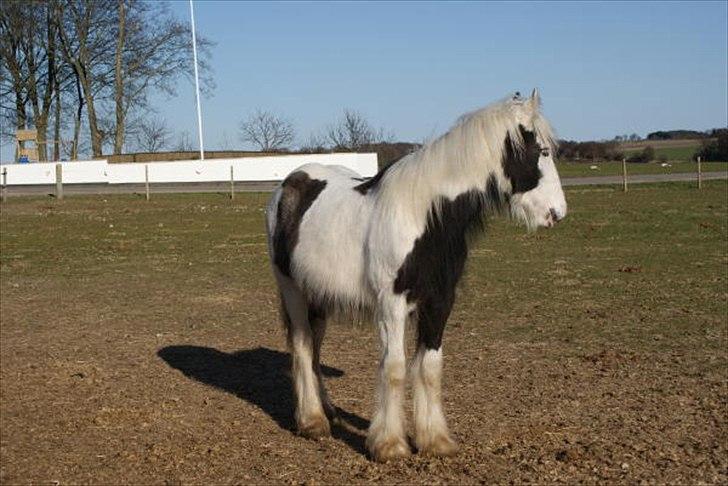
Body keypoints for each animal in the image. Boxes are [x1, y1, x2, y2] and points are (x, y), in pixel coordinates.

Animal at [264, 90, 564, 460]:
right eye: (542, 152)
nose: (557, 213)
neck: (425, 217)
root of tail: (290, 182)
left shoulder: (439, 302)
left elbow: (431, 367)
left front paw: (434, 439)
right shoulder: (392, 305)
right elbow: (394, 368)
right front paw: (389, 444)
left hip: (319, 295)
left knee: (316, 346)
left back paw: (327, 409)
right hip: (292, 290)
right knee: (303, 345)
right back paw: (312, 421)